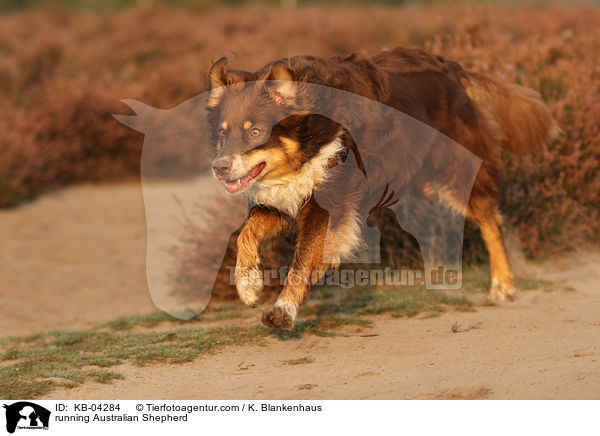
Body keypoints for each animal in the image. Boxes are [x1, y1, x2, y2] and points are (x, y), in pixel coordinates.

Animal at [206, 47, 556, 328]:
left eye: (255, 132)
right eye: (223, 133)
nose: (219, 168)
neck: (312, 137)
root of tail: (452, 67)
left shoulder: (329, 204)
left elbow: (303, 258)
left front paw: (282, 310)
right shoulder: (284, 195)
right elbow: (246, 233)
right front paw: (248, 286)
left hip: (455, 169)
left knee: (490, 221)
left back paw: (502, 285)